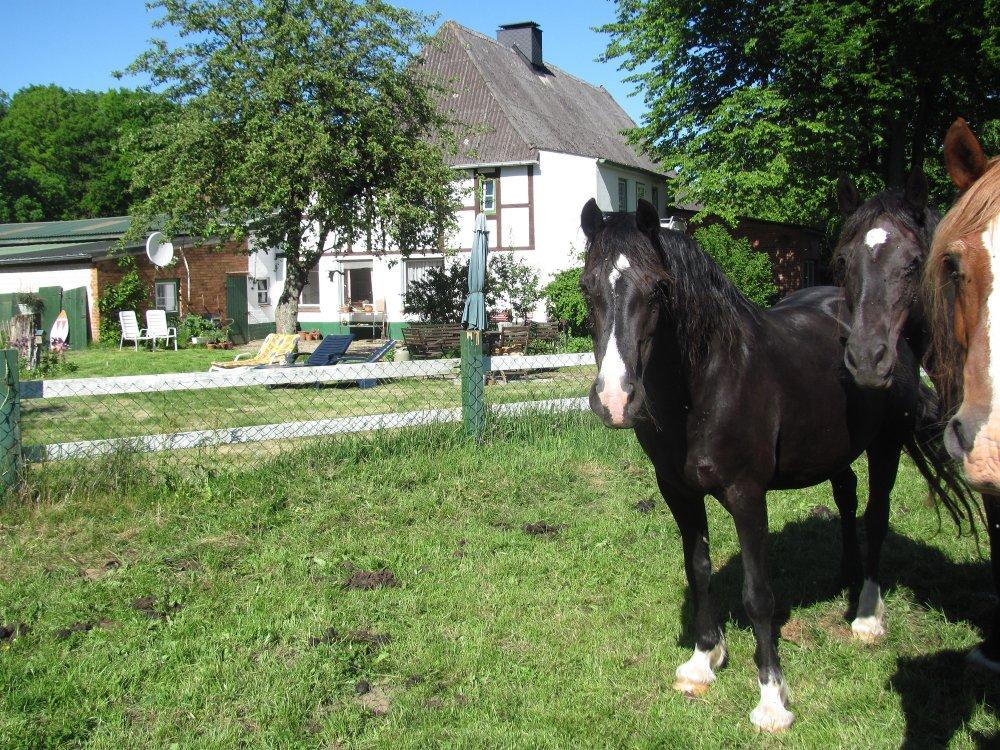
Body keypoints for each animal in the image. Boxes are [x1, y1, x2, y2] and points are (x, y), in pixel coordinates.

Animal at [580, 197, 941, 731]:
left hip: (887, 445)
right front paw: (703, 660)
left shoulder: (747, 495)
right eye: (587, 287)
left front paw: (772, 698)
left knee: (876, 514)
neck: (706, 384)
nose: (614, 400)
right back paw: (846, 577)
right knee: (846, 493)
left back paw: (867, 614)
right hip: (833, 448)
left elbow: (758, 595)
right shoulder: (678, 493)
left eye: (659, 288)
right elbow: (699, 571)